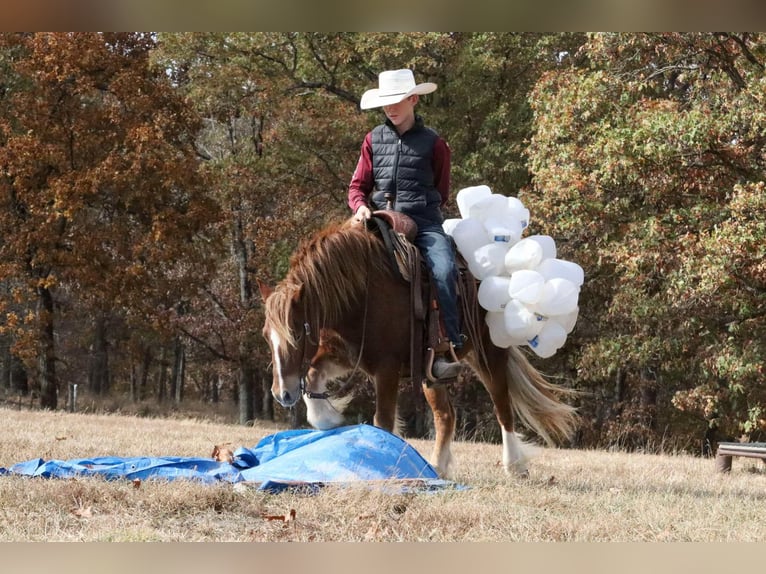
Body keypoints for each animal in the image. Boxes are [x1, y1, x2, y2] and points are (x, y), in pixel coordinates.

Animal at [260, 218, 580, 480]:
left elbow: (383, 421)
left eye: (296, 333)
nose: (281, 394)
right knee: (446, 416)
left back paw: (514, 465)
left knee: (502, 406)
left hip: (489, 353)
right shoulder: (345, 355)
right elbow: (313, 377)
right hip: (431, 372)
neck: (362, 292)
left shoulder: (386, 369)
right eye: (266, 335)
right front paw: (328, 420)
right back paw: (437, 468)